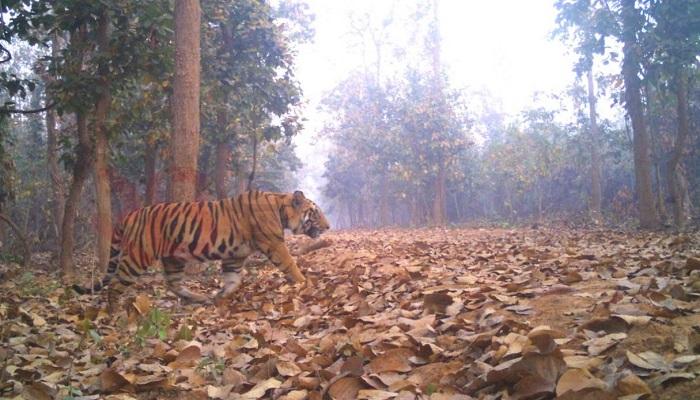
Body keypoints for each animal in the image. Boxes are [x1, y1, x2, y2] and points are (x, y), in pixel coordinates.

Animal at [72, 191, 330, 310]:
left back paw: (200, 298)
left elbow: (233, 280)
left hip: (173, 258)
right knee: (115, 285)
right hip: (138, 256)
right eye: (315, 212)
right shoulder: (274, 244)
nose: (329, 227)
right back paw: (116, 313)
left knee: (173, 284)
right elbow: (291, 264)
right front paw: (305, 282)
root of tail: (130, 214)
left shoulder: (235, 256)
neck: (280, 207)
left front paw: (220, 297)